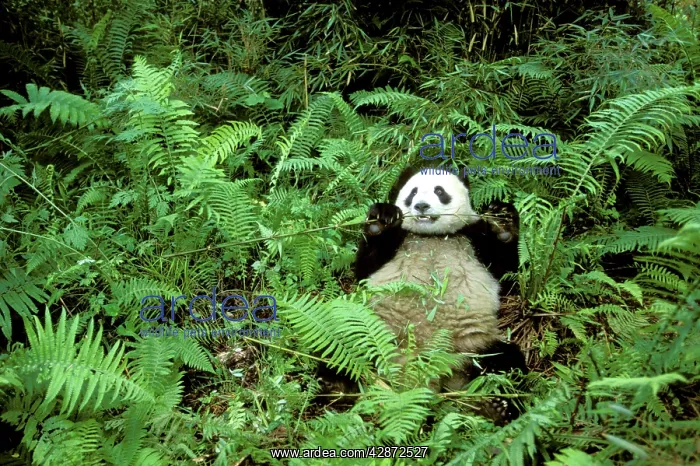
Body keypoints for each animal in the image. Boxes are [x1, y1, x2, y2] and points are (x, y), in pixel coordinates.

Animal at [354, 166, 527, 424]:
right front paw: (380, 220)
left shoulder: (473, 238)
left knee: (507, 362)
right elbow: (364, 270)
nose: (421, 206)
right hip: (380, 336)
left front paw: (503, 223)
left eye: (439, 191)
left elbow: (507, 272)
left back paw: (499, 407)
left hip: (473, 347)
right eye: (413, 192)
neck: (433, 236)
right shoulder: (399, 241)